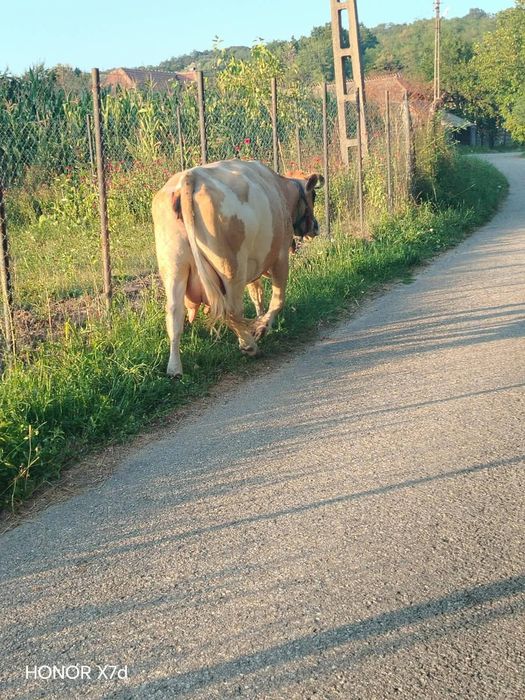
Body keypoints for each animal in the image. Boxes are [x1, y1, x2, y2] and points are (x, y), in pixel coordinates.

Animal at [152, 159, 324, 377]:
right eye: (314, 196)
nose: (316, 227)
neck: (280, 189)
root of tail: (190, 177)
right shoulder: (280, 257)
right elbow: (277, 300)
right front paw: (262, 327)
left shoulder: (253, 263)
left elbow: (257, 294)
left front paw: (260, 320)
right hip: (231, 268)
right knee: (233, 309)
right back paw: (249, 346)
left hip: (174, 266)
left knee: (174, 313)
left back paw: (174, 368)